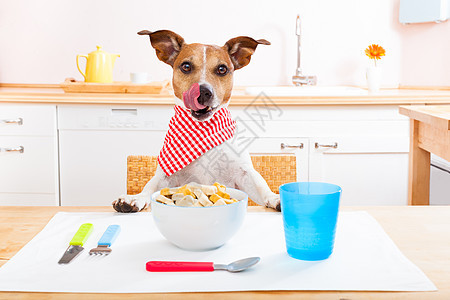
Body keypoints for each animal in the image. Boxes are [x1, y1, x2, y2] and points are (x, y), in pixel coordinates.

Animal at [113, 29, 282, 213]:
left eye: (222, 69)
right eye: (186, 66)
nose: (202, 92)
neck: (203, 129)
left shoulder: (244, 173)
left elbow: (261, 186)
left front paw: (275, 198)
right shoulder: (166, 177)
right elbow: (150, 187)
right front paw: (135, 198)